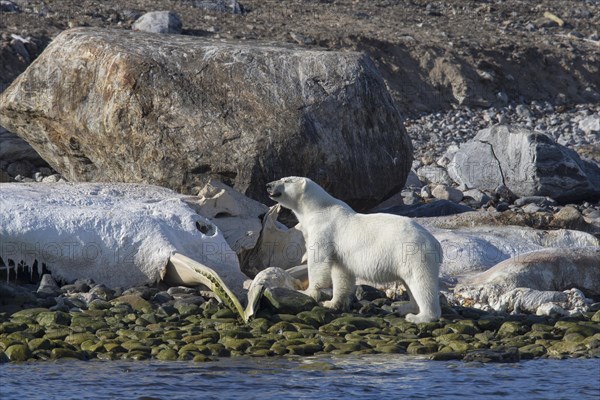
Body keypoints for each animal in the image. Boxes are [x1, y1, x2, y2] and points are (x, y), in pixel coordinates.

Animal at [266, 177, 440, 324]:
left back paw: (420, 317)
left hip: (413, 253)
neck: (318, 208)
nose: (268, 185)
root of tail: (435, 243)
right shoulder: (339, 252)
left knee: (421, 283)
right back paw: (405, 308)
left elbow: (318, 260)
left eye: (286, 180)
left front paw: (308, 292)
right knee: (409, 283)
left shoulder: (323, 228)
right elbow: (341, 273)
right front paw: (331, 302)